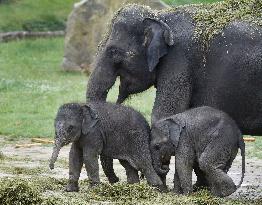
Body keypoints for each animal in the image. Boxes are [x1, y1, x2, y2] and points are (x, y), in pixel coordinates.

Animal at [87, 2, 262, 186]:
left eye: (113, 51)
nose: (115, 180)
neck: (161, 16)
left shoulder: (179, 61)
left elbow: (164, 114)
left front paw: (161, 186)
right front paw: (197, 186)